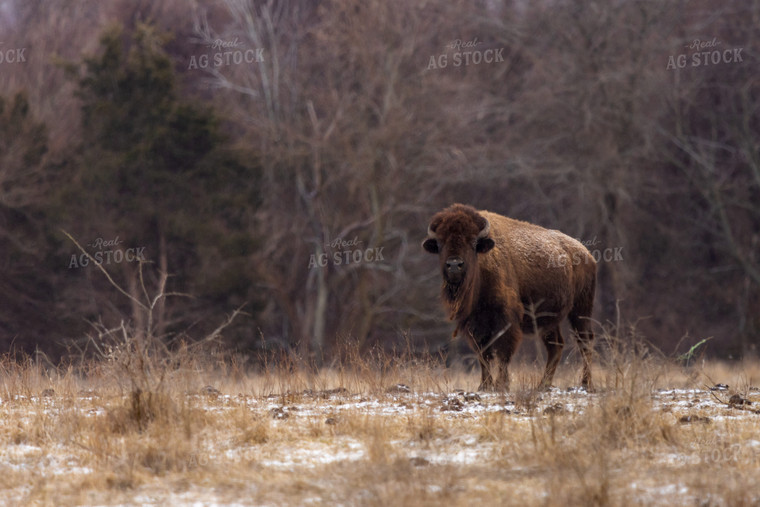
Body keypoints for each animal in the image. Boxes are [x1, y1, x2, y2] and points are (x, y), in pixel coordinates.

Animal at [424, 204, 596, 390]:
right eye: (440, 243)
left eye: (473, 242)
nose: (454, 265)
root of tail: (586, 253)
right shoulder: (474, 323)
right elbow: (483, 354)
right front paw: (484, 386)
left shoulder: (506, 319)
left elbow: (503, 352)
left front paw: (501, 385)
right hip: (549, 320)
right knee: (555, 346)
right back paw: (542, 385)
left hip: (581, 310)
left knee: (584, 341)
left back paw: (585, 383)